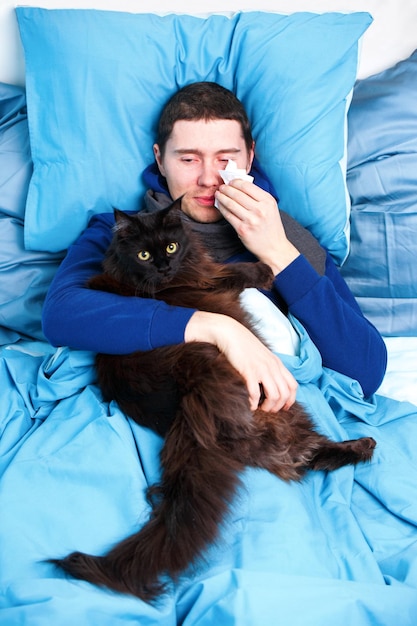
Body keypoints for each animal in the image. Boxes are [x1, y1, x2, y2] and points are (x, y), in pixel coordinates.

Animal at [50, 199, 376, 600]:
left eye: (171, 246)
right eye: (144, 255)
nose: (164, 266)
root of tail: (186, 400)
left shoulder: (194, 271)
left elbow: (224, 270)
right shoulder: (203, 279)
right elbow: (232, 272)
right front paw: (265, 270)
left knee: (302, 456)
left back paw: (362, 445)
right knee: (300, 455)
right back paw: (364, 446)